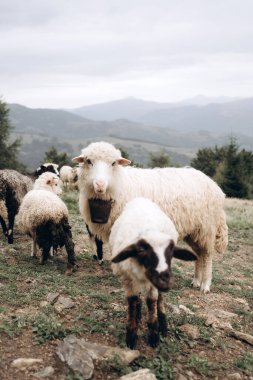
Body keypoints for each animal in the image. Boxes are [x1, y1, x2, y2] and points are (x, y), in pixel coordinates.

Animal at [72, 141, 228, 292]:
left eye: (113, 163)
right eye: (88, 161)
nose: (100, 184)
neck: (120, 185)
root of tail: (214, 184)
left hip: (206, 228)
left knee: (207, 256)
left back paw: (205, 285)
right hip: (194, 231)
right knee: (199, 255)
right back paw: (196, 281)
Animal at [109, 197, 197, 348]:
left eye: (172, 250)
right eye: (141, 250)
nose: (165, 279)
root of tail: (141, 199)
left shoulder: (153, 283)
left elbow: (151, 301)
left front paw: (154, 335)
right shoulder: (127, 279)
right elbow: (132, 301)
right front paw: (131, 336)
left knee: (159, 299)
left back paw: (163, 324)